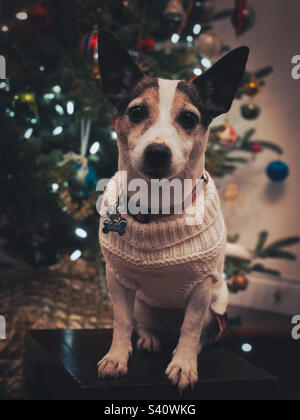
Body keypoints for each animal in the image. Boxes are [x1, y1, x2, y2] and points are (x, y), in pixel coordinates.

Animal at [96, 31, 248, 392]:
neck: (158, 208)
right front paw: (116, 357)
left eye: (189, 118)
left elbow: (190, 329)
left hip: (216, 310)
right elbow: (121, 321)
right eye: (137, 112)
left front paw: (183, 365)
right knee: (142, 323)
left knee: (195, 332)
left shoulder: (202, 288)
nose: (157, 152)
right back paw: (149, 338)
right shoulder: (117, 280)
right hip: (143, 304)